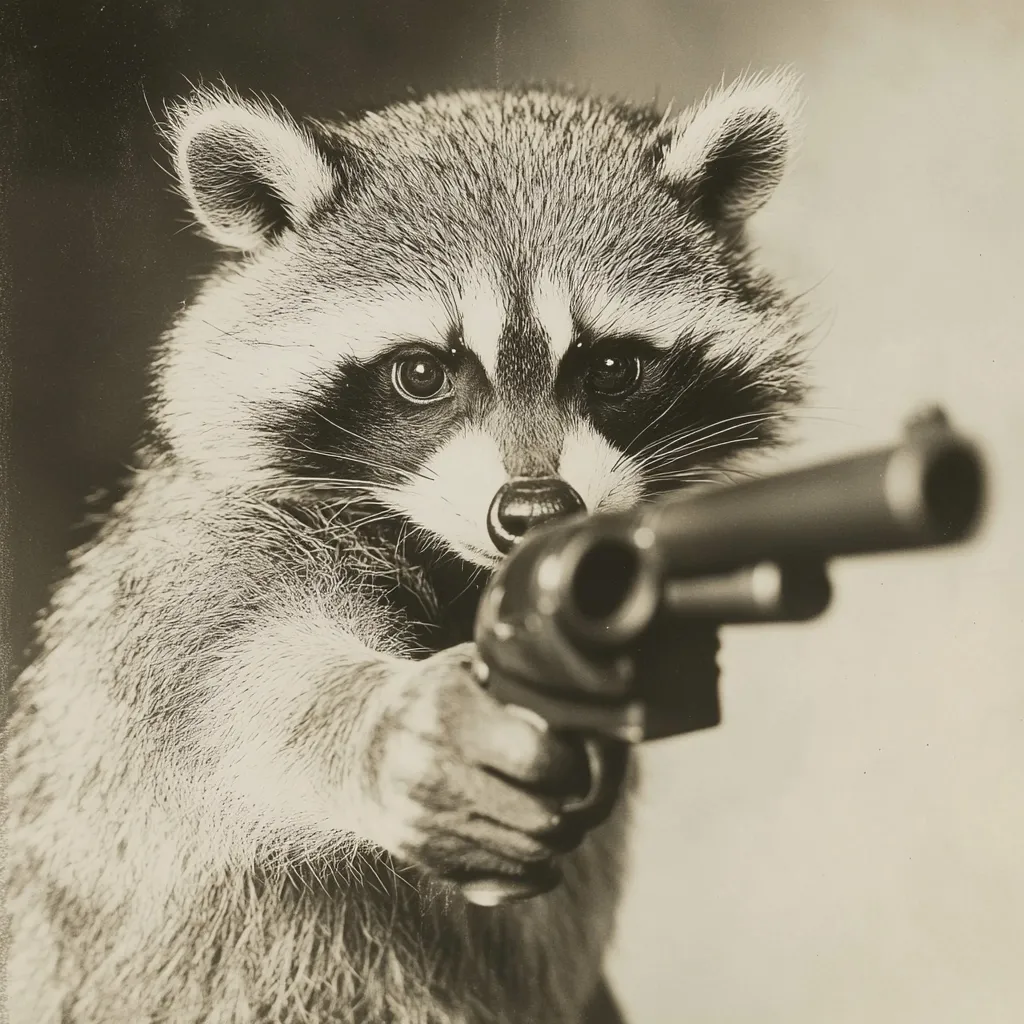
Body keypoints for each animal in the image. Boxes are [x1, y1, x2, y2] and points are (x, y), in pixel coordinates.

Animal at [7, 71, 806, 1024]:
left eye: (613, 367)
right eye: (422, 373)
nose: (535, 509)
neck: (462, 571)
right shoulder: (200, 571)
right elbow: (237, 670)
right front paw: (390, 730)